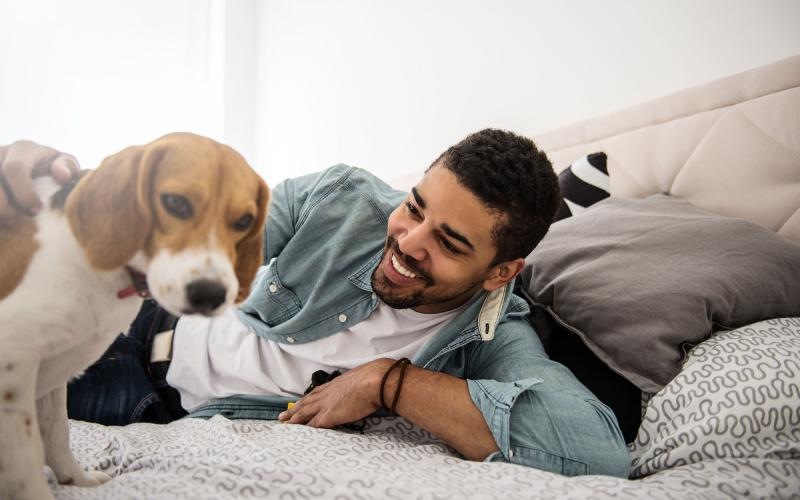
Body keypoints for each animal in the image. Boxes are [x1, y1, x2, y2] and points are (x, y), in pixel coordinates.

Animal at [0, 133, 268, 500]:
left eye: (244, 221)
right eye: (175, 203)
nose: (210, 294)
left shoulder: (53, 373)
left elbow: (56, 434)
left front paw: (76, 480)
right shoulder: (14, 368)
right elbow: (27, 462)